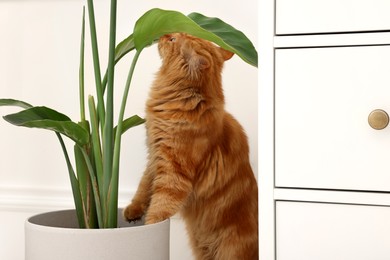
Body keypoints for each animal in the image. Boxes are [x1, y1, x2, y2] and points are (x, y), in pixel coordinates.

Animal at [125, 33, 258, 260]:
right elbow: (143, 187)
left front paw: (149, 228)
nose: (163, 35)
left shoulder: (174, 174)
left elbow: (159, 207)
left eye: (173, 40)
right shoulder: (154, 158)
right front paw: (133, 211)